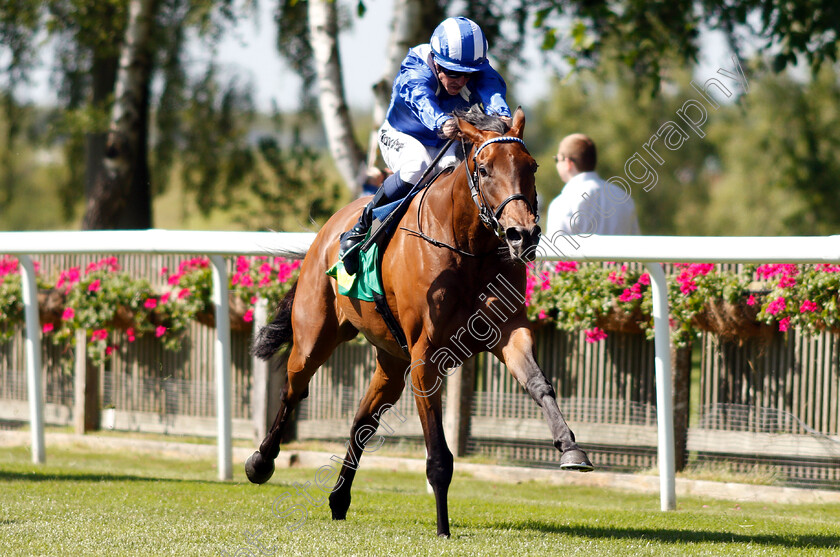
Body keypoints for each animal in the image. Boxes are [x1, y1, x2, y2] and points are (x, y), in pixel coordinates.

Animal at [246, 106, 592, 536]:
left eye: (532, 166)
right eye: (484, 168)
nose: (522, 234)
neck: (467, 246)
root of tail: (326, 230)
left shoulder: (508, 331)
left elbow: (539, 383)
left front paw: (571, 447)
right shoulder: (426, 357)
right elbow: (439, 453)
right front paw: (443, 527)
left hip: (391, 361)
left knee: (362, 422)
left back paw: (339, 499)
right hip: (314, 338)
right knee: (293, 391)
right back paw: (260, 463)